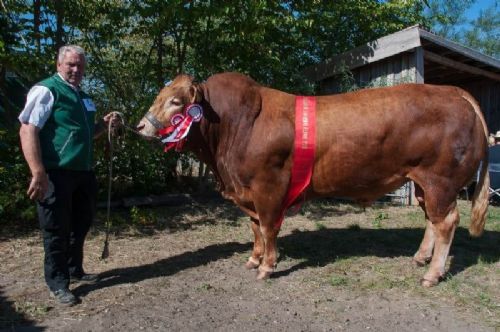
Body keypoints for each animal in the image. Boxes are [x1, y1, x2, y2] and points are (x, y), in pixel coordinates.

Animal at [136, 72, 488, 286]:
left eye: (176, 102)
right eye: (159, 96)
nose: (140, 126)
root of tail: (454, 92)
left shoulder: (269, 185)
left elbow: (268, 227)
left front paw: (267, 267)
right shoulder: (247, 192)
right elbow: (254, 227)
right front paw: (253, 259)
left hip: (440, 180)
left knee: (446, 222)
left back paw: (432, 273)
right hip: (422, 182)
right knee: (431, 219)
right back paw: (419, 258)